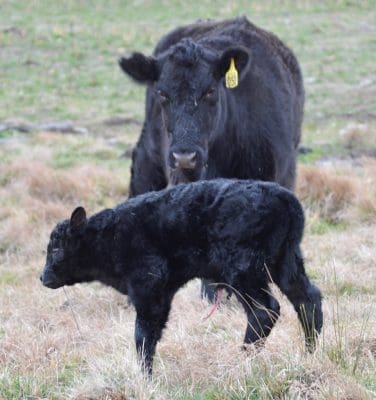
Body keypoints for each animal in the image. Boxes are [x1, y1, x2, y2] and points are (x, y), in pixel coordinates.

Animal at [41, 180, 324, 376]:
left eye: (56, 249)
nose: (43, 277)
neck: (110, 234)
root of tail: (286, 200)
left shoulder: (147, 289)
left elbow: (143, 335)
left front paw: (145, 377)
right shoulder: (163, 293)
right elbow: (152, 333)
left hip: (244, 274)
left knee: (265, 310)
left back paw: (243, 359)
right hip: (285, 263)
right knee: (308, 299)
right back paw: (309, 353)